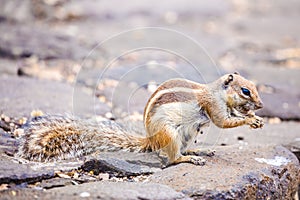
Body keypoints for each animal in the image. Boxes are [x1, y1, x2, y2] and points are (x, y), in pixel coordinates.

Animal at [17, 72, 264, 165]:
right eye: (245, 91)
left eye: (254, 87)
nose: (261, 105)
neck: (217, 92)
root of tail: (151, 139)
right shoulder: (213, 106)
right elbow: (223, 121)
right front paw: (250, 120)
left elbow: (232, 116)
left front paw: (253, 117)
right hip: (170, 133)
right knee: (172, 157)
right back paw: (189, 158)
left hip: (188, 133)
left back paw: (198, 151)